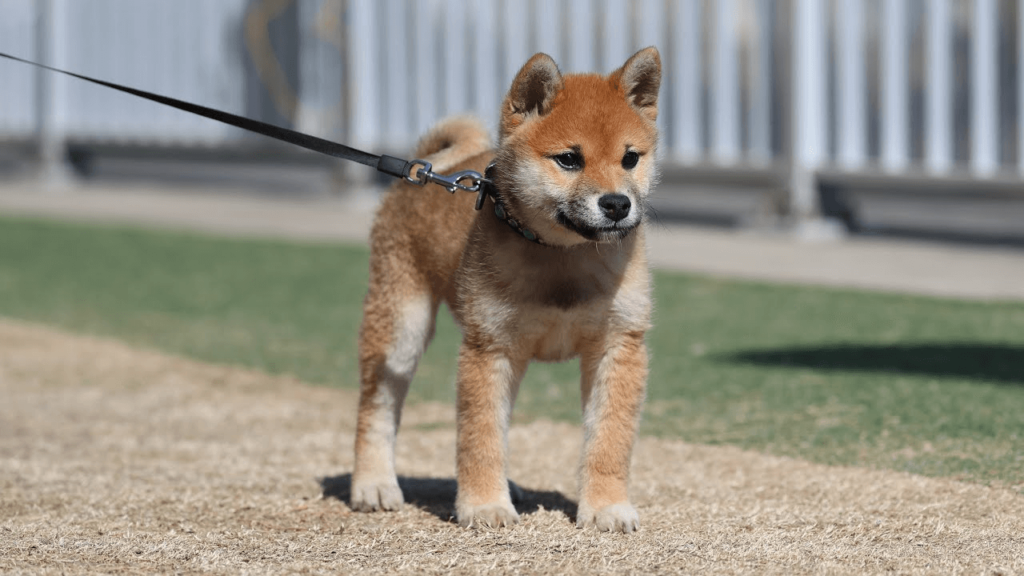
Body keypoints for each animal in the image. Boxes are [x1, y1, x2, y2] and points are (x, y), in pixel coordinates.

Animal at [348, 47, 659, 532]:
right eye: (569, 159)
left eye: (630, 158)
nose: (616, 204)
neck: (561, 256)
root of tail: (425, 169)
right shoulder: (487, 347)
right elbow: (481, 436)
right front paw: (483, 505)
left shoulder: (619, 345)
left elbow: (609, 440)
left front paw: (607, 506)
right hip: (400, 331)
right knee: (375, 408)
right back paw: (373, 484)